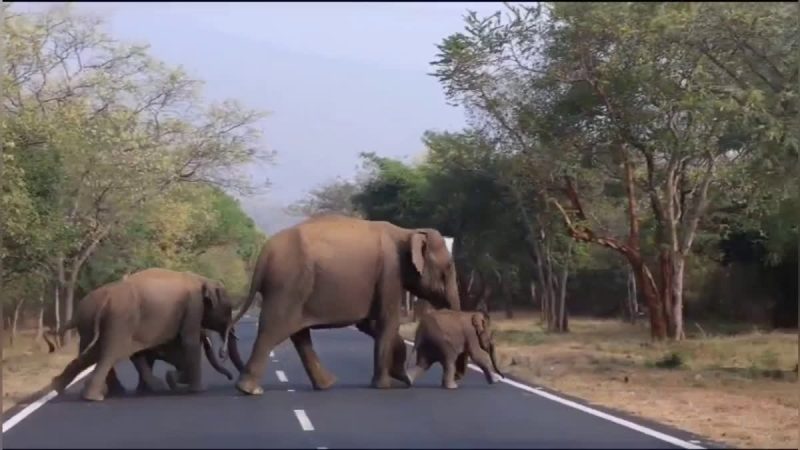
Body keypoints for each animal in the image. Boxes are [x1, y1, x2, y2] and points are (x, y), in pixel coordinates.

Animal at [46, 268, 241, 400]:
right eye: (228, 309)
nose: (231, 377)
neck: (202, 279)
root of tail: (105, 300)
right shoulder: (193, 306)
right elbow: (189, 342)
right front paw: (198, 390)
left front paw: (166, 382)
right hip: (119, 321)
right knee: (110, 353)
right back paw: (95, 397)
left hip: (93, 324)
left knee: (91, 354)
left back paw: (59, 387)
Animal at [225, 214, 462, 394]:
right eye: (449, 267)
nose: (456, 381)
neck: (407, 232)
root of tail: (264, 254)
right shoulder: (389, 272)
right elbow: (387, 321)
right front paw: (385, 386)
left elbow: (370, 324)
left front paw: (399, 377)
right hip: (288, 285)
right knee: (273, 329)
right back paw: (250, 390)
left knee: (298, 334)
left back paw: (326, 385)